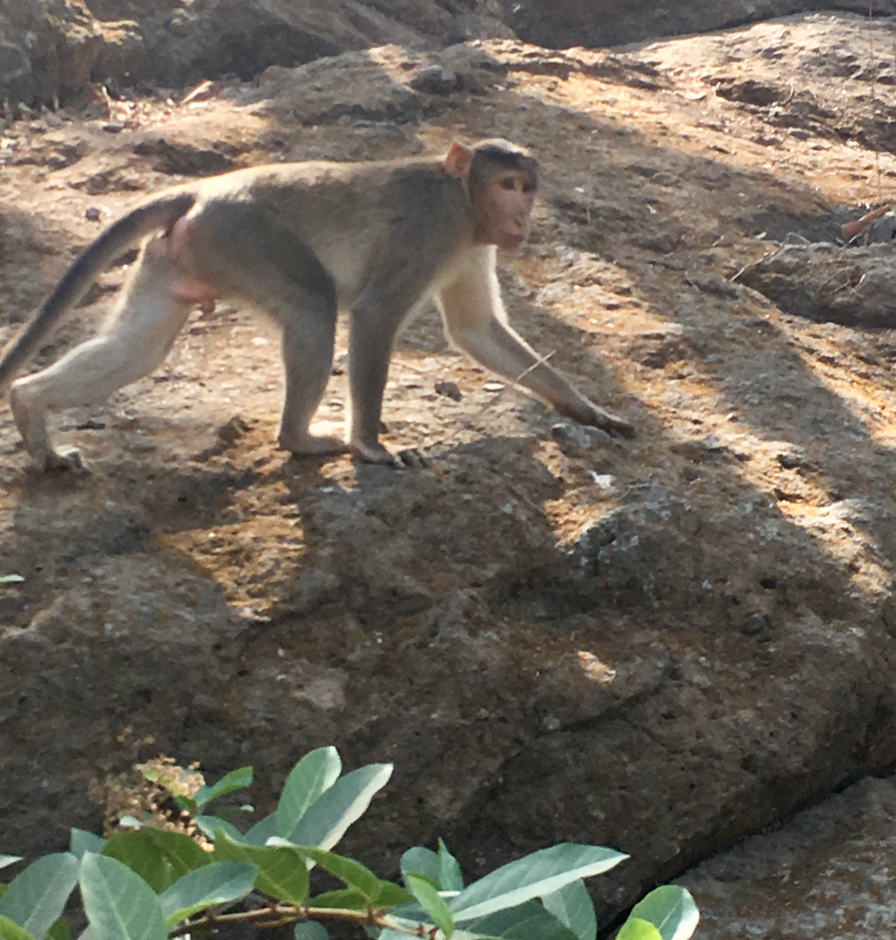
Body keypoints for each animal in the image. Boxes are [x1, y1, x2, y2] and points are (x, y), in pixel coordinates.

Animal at [0, 137, 632, 470]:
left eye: (527, 189)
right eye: (506, 185)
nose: (521, 217)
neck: (462, 199)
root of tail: (202, 191)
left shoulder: (473, 244)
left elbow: (476, 329)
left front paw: (585, 409)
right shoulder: (432, 230)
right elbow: (375, 315)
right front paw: (371, 446)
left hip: (182, 256)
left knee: (137, 350)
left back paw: (31, 410)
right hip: (243, 236)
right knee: (312, 306)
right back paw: (297, 439)